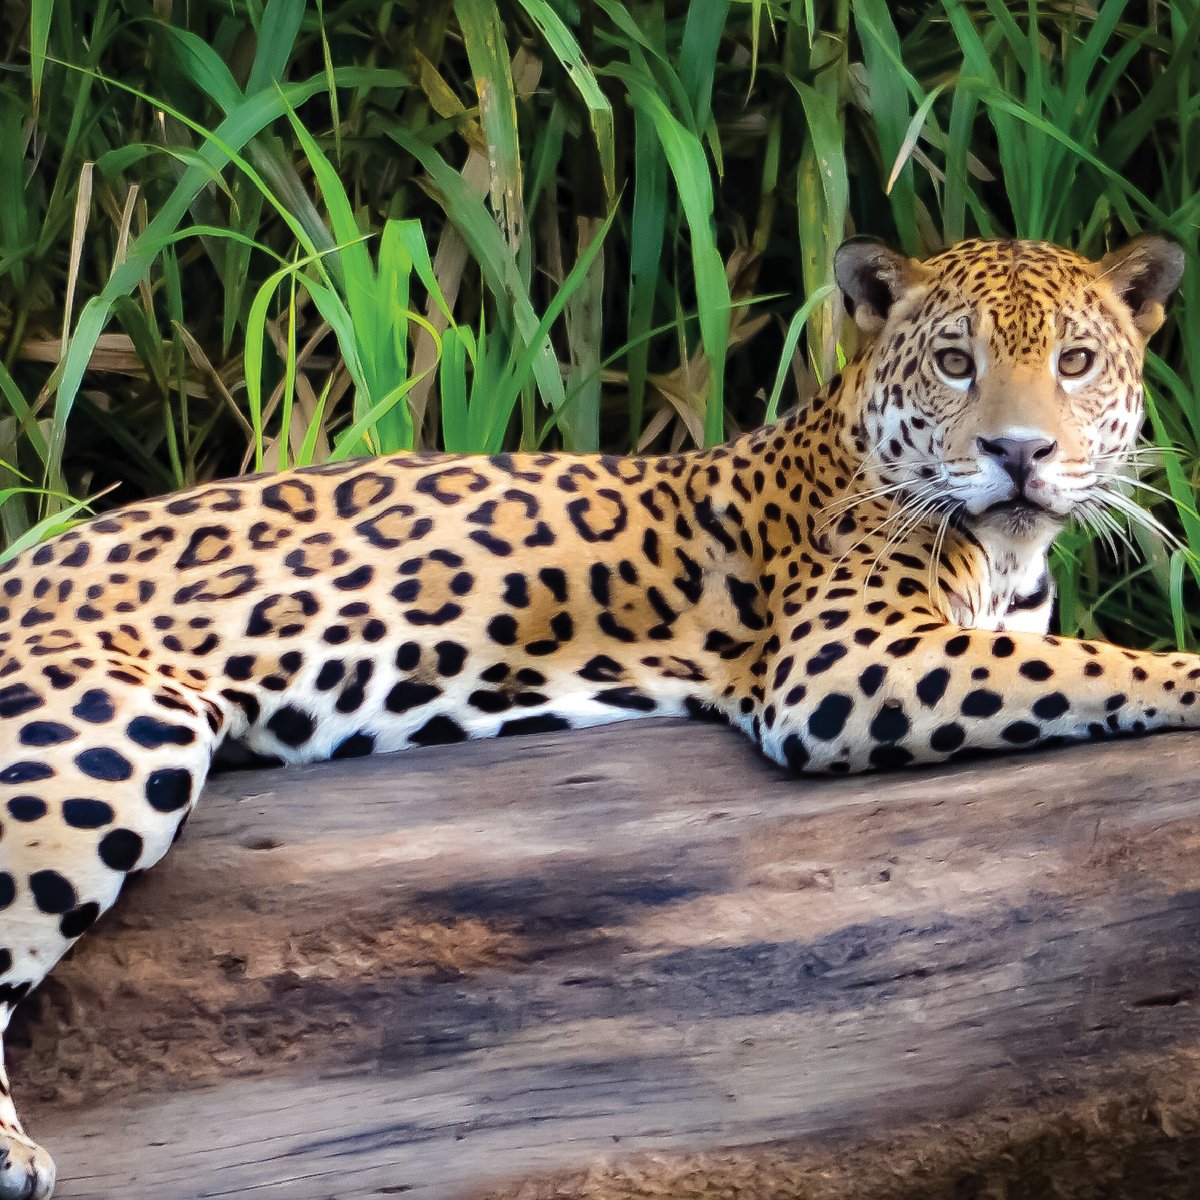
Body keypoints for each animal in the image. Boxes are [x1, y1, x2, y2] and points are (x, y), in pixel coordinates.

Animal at [0, 233, 1194, 1197]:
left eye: (1075, 364)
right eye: (956, 364)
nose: (1020, 454)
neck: (1008, 556)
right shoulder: (839, 661)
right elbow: (1092, 664)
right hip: (113, 729)